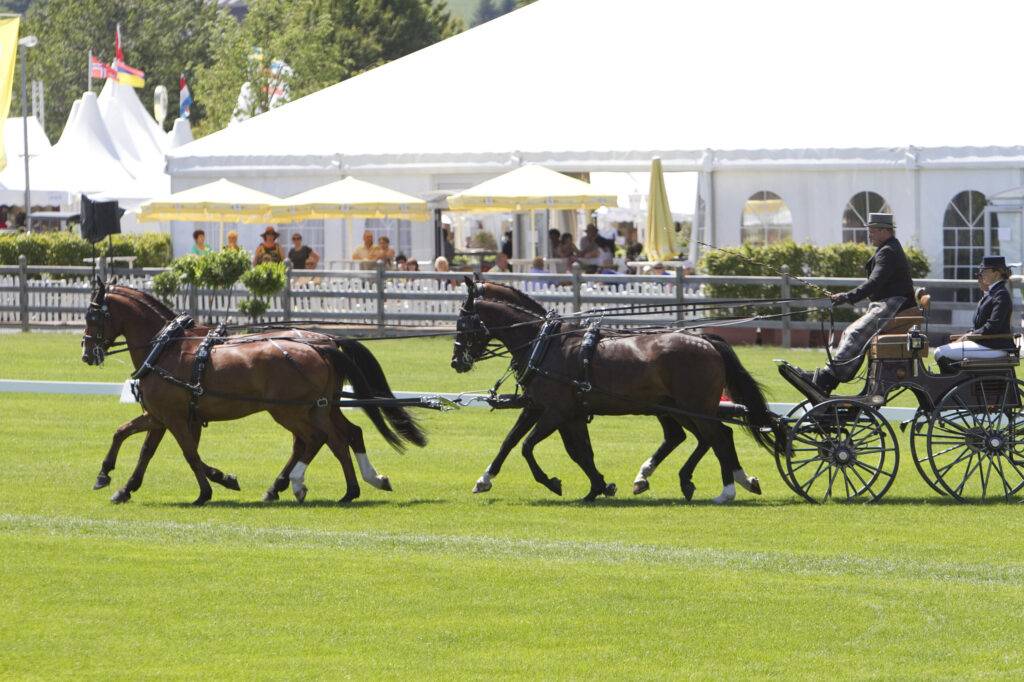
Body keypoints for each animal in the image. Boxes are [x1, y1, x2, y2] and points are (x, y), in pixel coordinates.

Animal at [81, 281, 425, 505]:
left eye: (93, 315)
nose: (87, 354)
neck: (167, 347)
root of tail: (326, 342)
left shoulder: (174, 417)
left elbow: (189, 453)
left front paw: (213, 486)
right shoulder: (162, 415)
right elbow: (133, 441)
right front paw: (115, 482)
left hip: (289, 410)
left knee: (320, 439)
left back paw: (304, 485)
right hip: (322, 407)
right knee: (345, 435)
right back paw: (354, 485)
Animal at [451, 278, 784, 502]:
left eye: (462, 323)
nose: (456, 362)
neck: (544, 342)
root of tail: (707, 341)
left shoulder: (556, 411)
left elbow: (528, 446)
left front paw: (554, 482)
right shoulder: (549, 409)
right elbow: (528, 445)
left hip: (695, 406)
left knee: (718, 436)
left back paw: (727, 488)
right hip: (679, 407)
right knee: (704, 437)